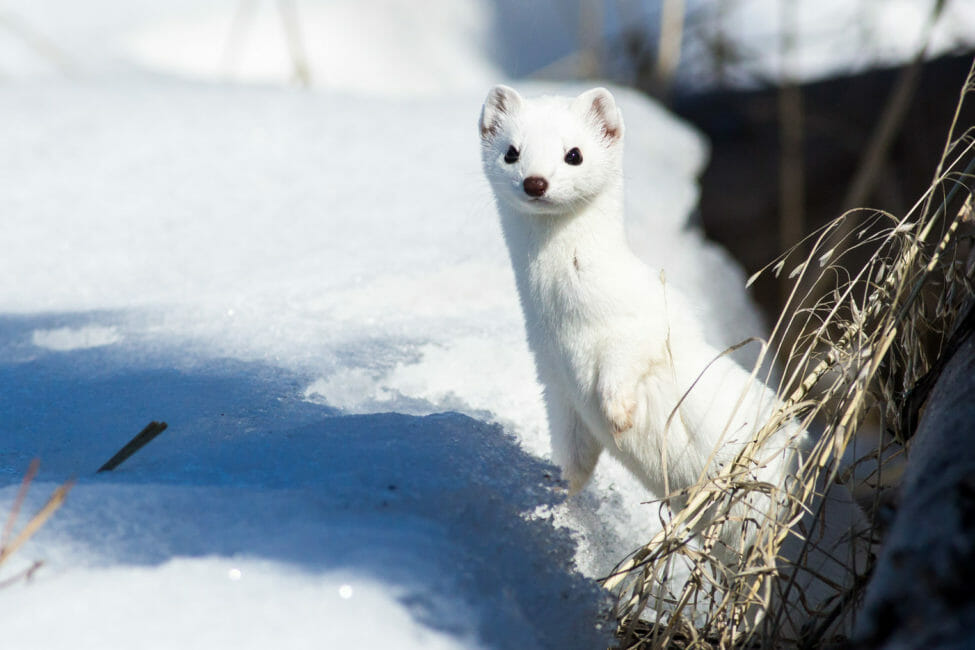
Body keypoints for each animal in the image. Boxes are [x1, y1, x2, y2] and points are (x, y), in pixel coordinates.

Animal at [480, 83, 868, 636]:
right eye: (512, 151)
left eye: (574, 153)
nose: (535, 182)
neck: (563, 321)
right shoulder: (552, 377)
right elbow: (574, 452)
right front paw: (558, 489)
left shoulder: (647, 323)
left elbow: (628, 361)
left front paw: (620, 413)